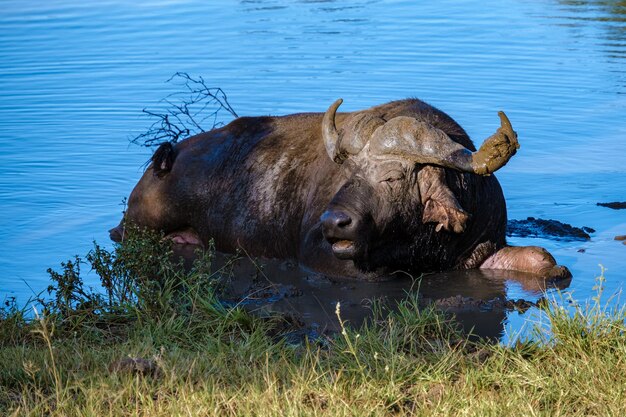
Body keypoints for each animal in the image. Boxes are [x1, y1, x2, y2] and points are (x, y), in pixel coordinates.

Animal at [109, 97, 568, 280]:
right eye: (350, 174)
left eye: (392, 177)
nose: (334, 223)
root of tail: (164, 161)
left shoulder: (484, 247)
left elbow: (542, 261)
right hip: (137, 228)